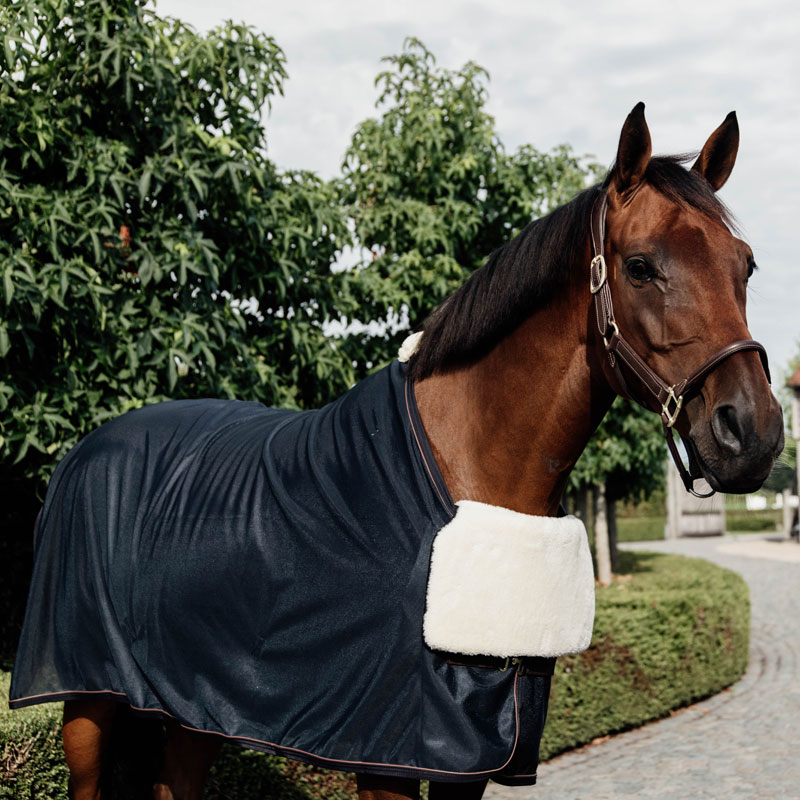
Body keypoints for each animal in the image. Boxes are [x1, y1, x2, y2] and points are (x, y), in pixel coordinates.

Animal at [9, 103, 783, 800]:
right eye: (642, 266)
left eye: (745, 265)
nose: (752, 432)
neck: (465, 473)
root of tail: (88, 449)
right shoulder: (393, 757)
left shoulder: (479, 751)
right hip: (87, 703)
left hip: (191, 707)